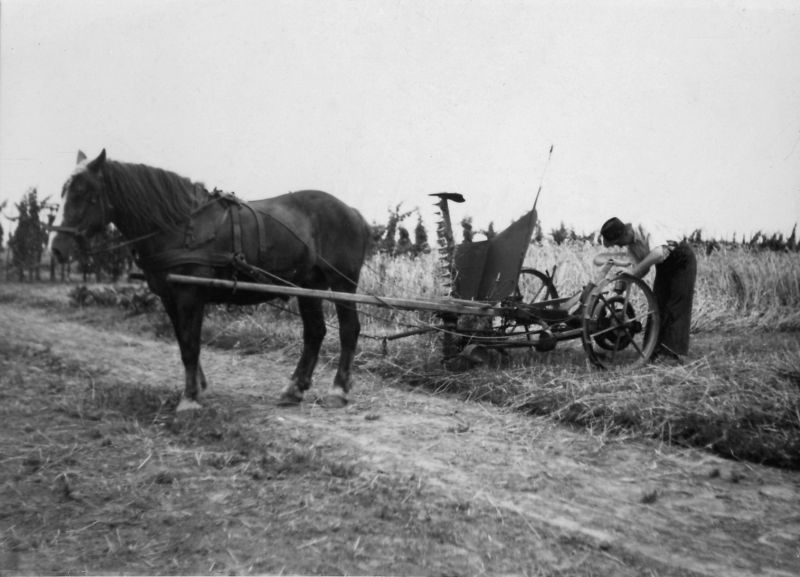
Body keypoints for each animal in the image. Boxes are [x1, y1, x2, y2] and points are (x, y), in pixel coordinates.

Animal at [51, 148, 370, 410]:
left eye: (84, 193)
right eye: (64, 192)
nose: (56, 249)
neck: (179, 226)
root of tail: (353, 212)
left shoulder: (190, 296)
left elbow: (191, 344)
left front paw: (190, 399)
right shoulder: (169, 297)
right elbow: (183, 342)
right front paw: (198, 387)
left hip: (343, 284)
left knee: (348, 330)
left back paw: (338, 390)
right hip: (309, 286)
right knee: (315, 332)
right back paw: (294, 389)